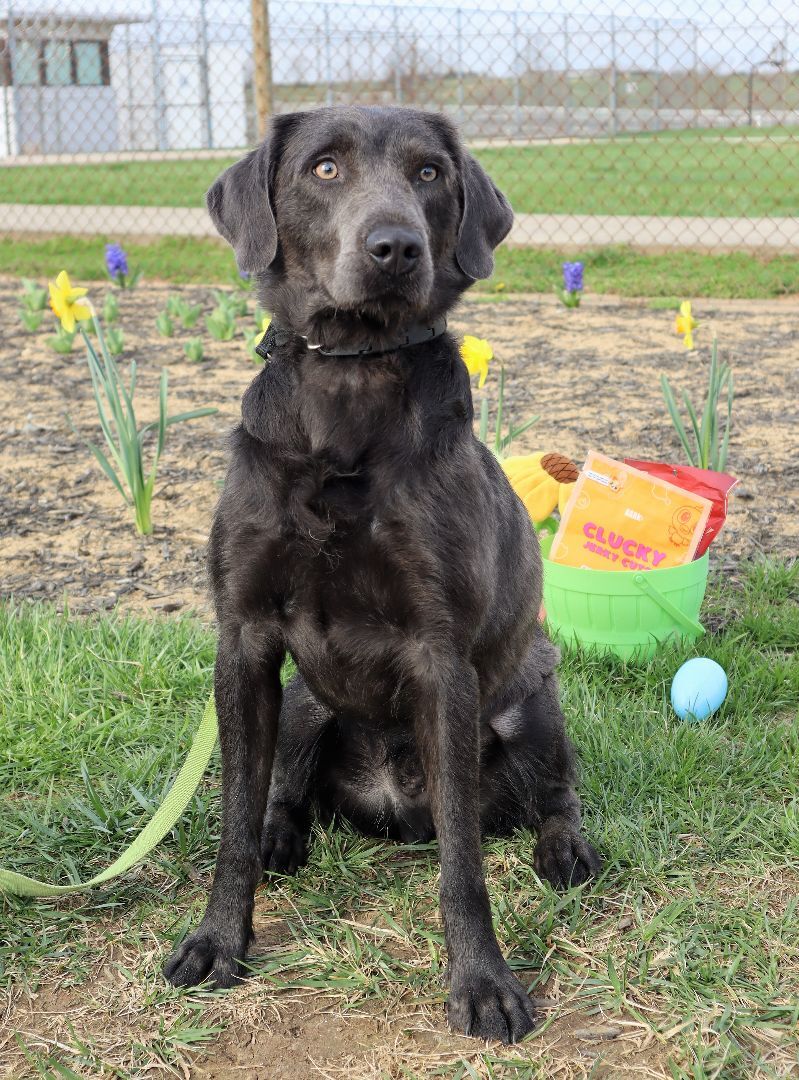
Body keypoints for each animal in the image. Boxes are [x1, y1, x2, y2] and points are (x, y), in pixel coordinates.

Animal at [161, 105, 600, 1041]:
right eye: (324, 168)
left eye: (429, 172)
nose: (395, 246)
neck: (350, 380)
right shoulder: (243, 641)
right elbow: (232, 822)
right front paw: (217, 942)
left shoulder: (442, 658)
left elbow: (463, 863)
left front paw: (483, 982)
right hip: (300, 707)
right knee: (281, 797)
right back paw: (284, 839)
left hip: (533, 698)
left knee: (553, 794)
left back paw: (564, 848)